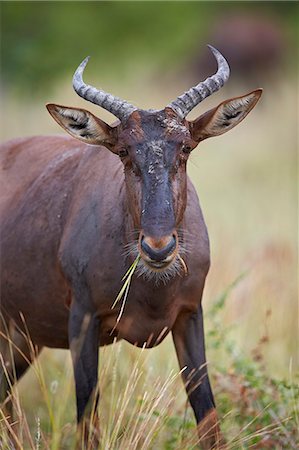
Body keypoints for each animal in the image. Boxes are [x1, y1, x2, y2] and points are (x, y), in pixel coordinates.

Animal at [0, 44, 262, 446]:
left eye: (185, 147)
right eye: (123, 152)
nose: (158, 248)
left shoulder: (190, 315)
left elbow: (208, 418)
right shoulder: (83, 323)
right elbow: (87, 419)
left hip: (23, 337)